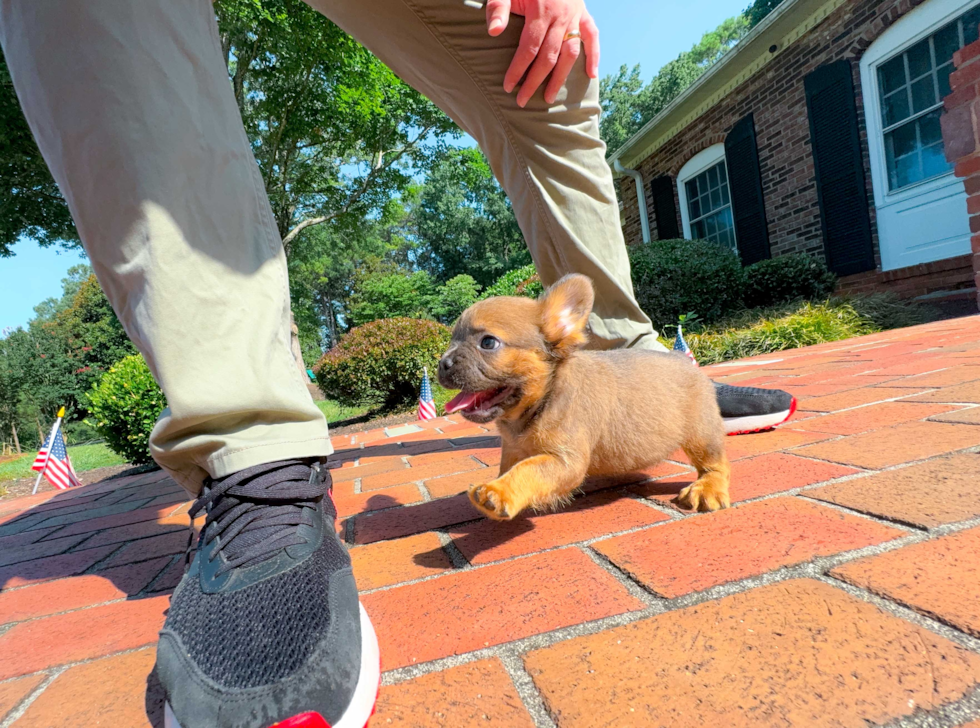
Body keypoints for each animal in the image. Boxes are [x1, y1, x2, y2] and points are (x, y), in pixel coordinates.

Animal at [436, 272, 728, 516]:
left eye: (488, 343)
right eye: (451, 341)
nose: (442, 363)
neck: (543, 398)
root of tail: (684, 360)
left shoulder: (564, 462)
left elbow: (529, 469)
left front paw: (498, 491)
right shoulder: (513, 450)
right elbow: (511, 467)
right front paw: (501, 484)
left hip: (702, 435)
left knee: (715, 464)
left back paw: (707, 487)